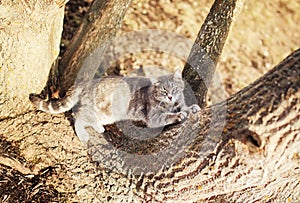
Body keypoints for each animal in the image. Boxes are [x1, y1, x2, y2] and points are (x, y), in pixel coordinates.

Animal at [29, 71, 200, 143]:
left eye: (174, 89)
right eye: (164, 91)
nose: (170, 96)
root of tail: (85, 82)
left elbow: (185, 107)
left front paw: (191, 108)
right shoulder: (153, 117)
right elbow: (167, 116)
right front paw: (178, 115)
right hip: (102, 111)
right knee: (78, 116)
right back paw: (84, 134)